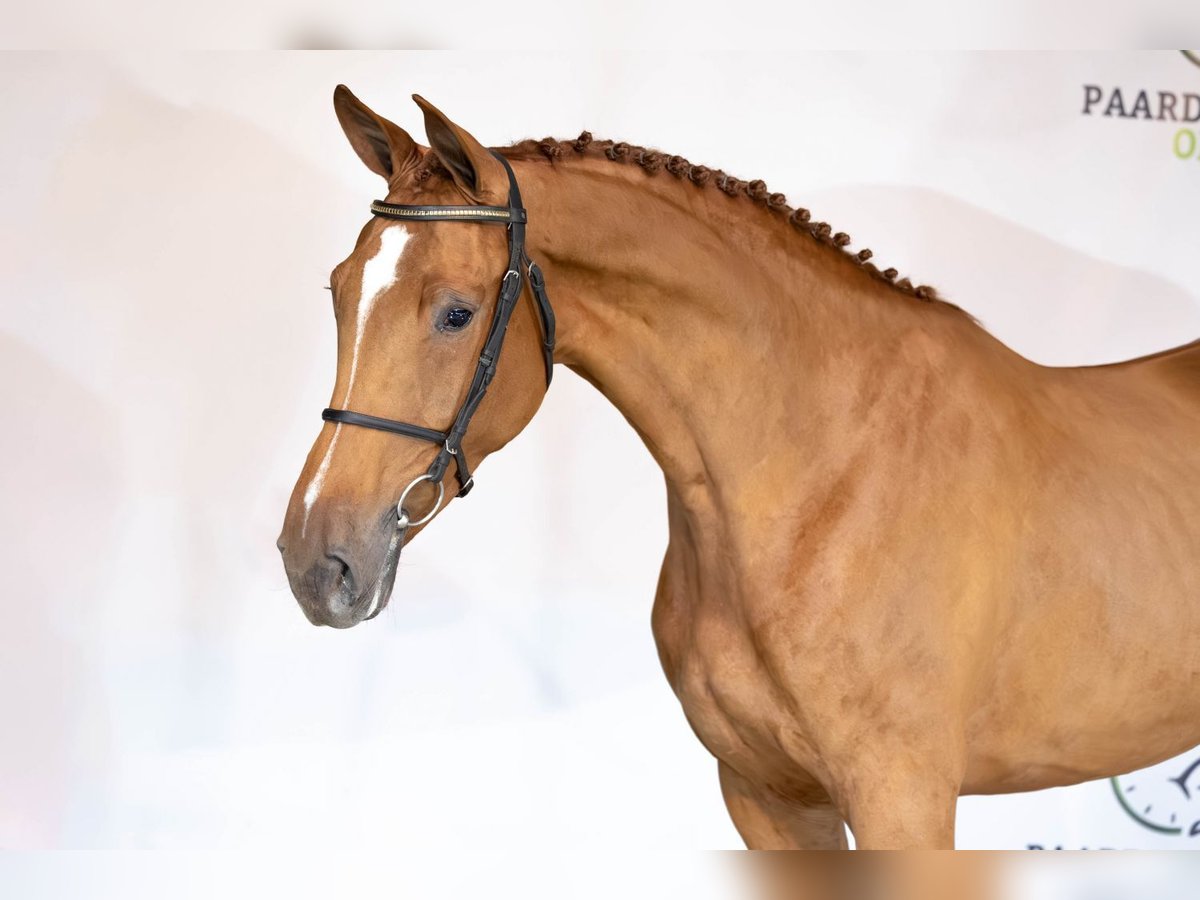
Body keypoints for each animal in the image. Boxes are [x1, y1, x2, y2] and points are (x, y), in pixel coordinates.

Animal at [278, 86, 1200, 849]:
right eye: (338, 289)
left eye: (456, 313)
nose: (316, 560)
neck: (820, 474)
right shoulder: (767, 797)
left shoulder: (904, 798)